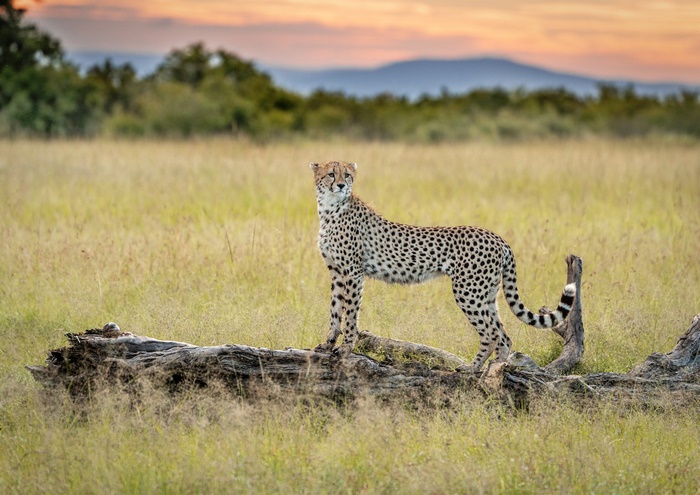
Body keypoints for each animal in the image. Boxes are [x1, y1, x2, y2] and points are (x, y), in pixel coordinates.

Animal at [309, 160, 576, 371]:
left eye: (347, 174)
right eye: (331, 174)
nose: (341, 185)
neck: (330, 208)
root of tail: (498, 238)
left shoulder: (353, 273)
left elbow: (350, 313)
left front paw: (345, 349)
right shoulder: (337, 273)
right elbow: (335, 310)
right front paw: (328, 344)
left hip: (468, 291)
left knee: (491, 333)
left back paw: (472, 368)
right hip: (487, 294)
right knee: (504, 335)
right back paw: (496, 370)